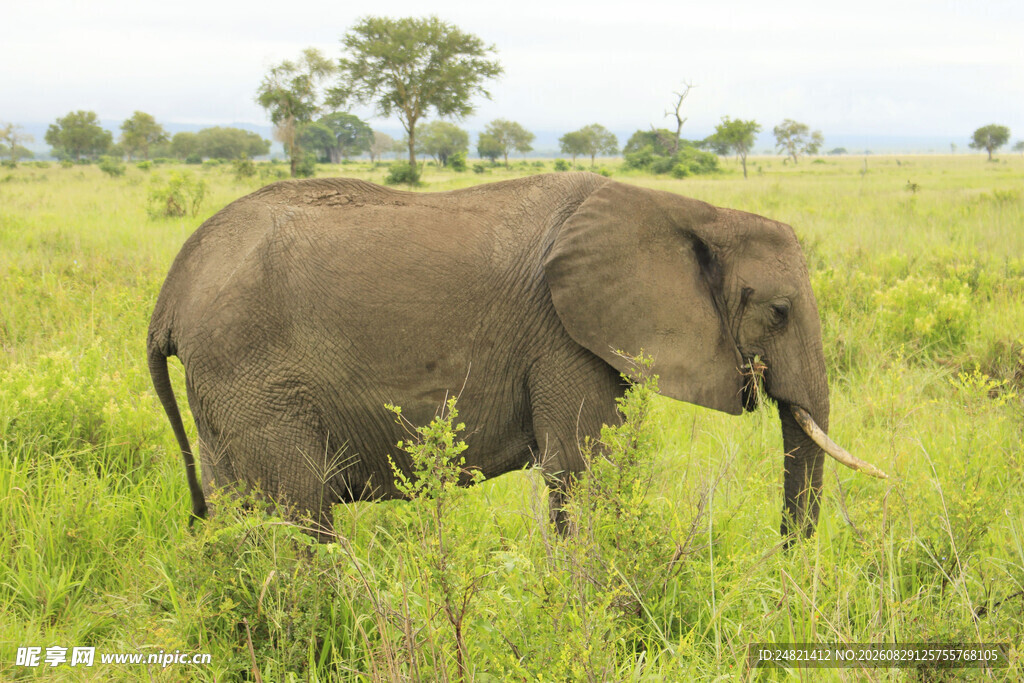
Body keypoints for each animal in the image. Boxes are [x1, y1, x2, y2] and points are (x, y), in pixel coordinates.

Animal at [148, 172, 885, 542]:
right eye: (779, 311)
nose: (784, 555)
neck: (690, 209)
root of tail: (170, 294)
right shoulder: (560, 334)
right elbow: (582, 472)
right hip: (252, 373)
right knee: (297, 513)